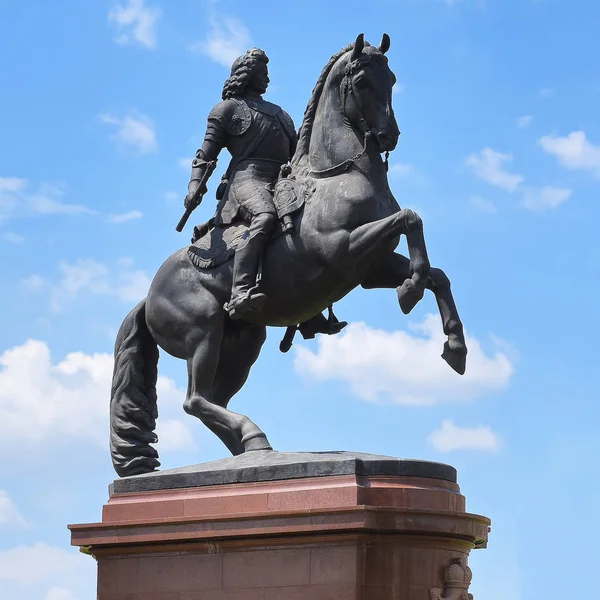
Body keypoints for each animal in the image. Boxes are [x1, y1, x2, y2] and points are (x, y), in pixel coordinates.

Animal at [112, 35, 468, 478]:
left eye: (393, 79)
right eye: (363, 82)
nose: (389, 136)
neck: (338, 175)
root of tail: (147, 297)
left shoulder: (372, 268)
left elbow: (437, 271)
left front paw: (454, 345)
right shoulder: (342, 251)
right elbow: (410, 220)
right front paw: (410, 290)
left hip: (243, 344)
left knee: (213, 400)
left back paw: (253, 450)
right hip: (203, 332)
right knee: (195, 398)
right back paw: (254, 437)